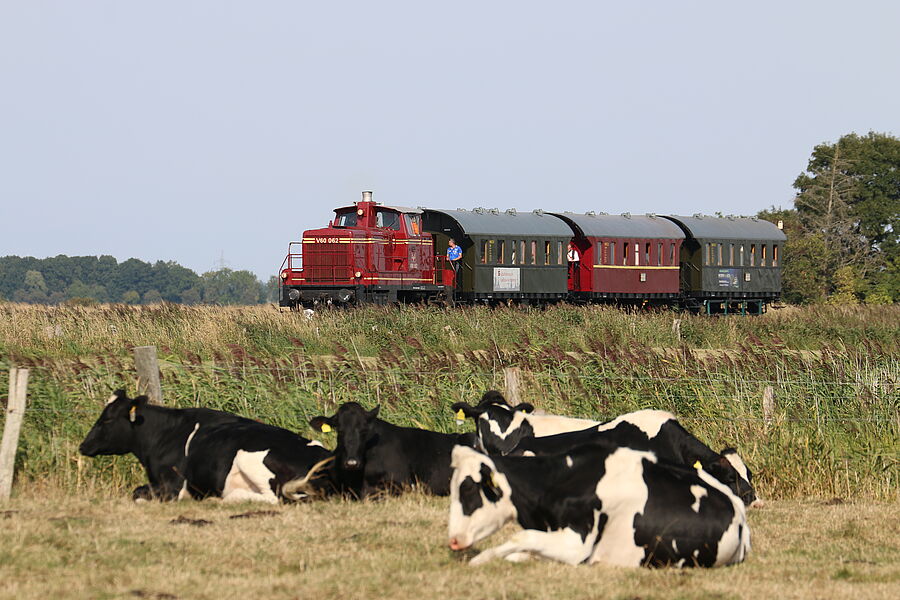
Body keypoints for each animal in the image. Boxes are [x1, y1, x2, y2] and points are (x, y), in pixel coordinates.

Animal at [80, 392, 334, 504]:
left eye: (107, 420)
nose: (83, 446)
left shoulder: (171, 487)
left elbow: (137, 493)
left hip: (250, 460)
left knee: (274, 498)